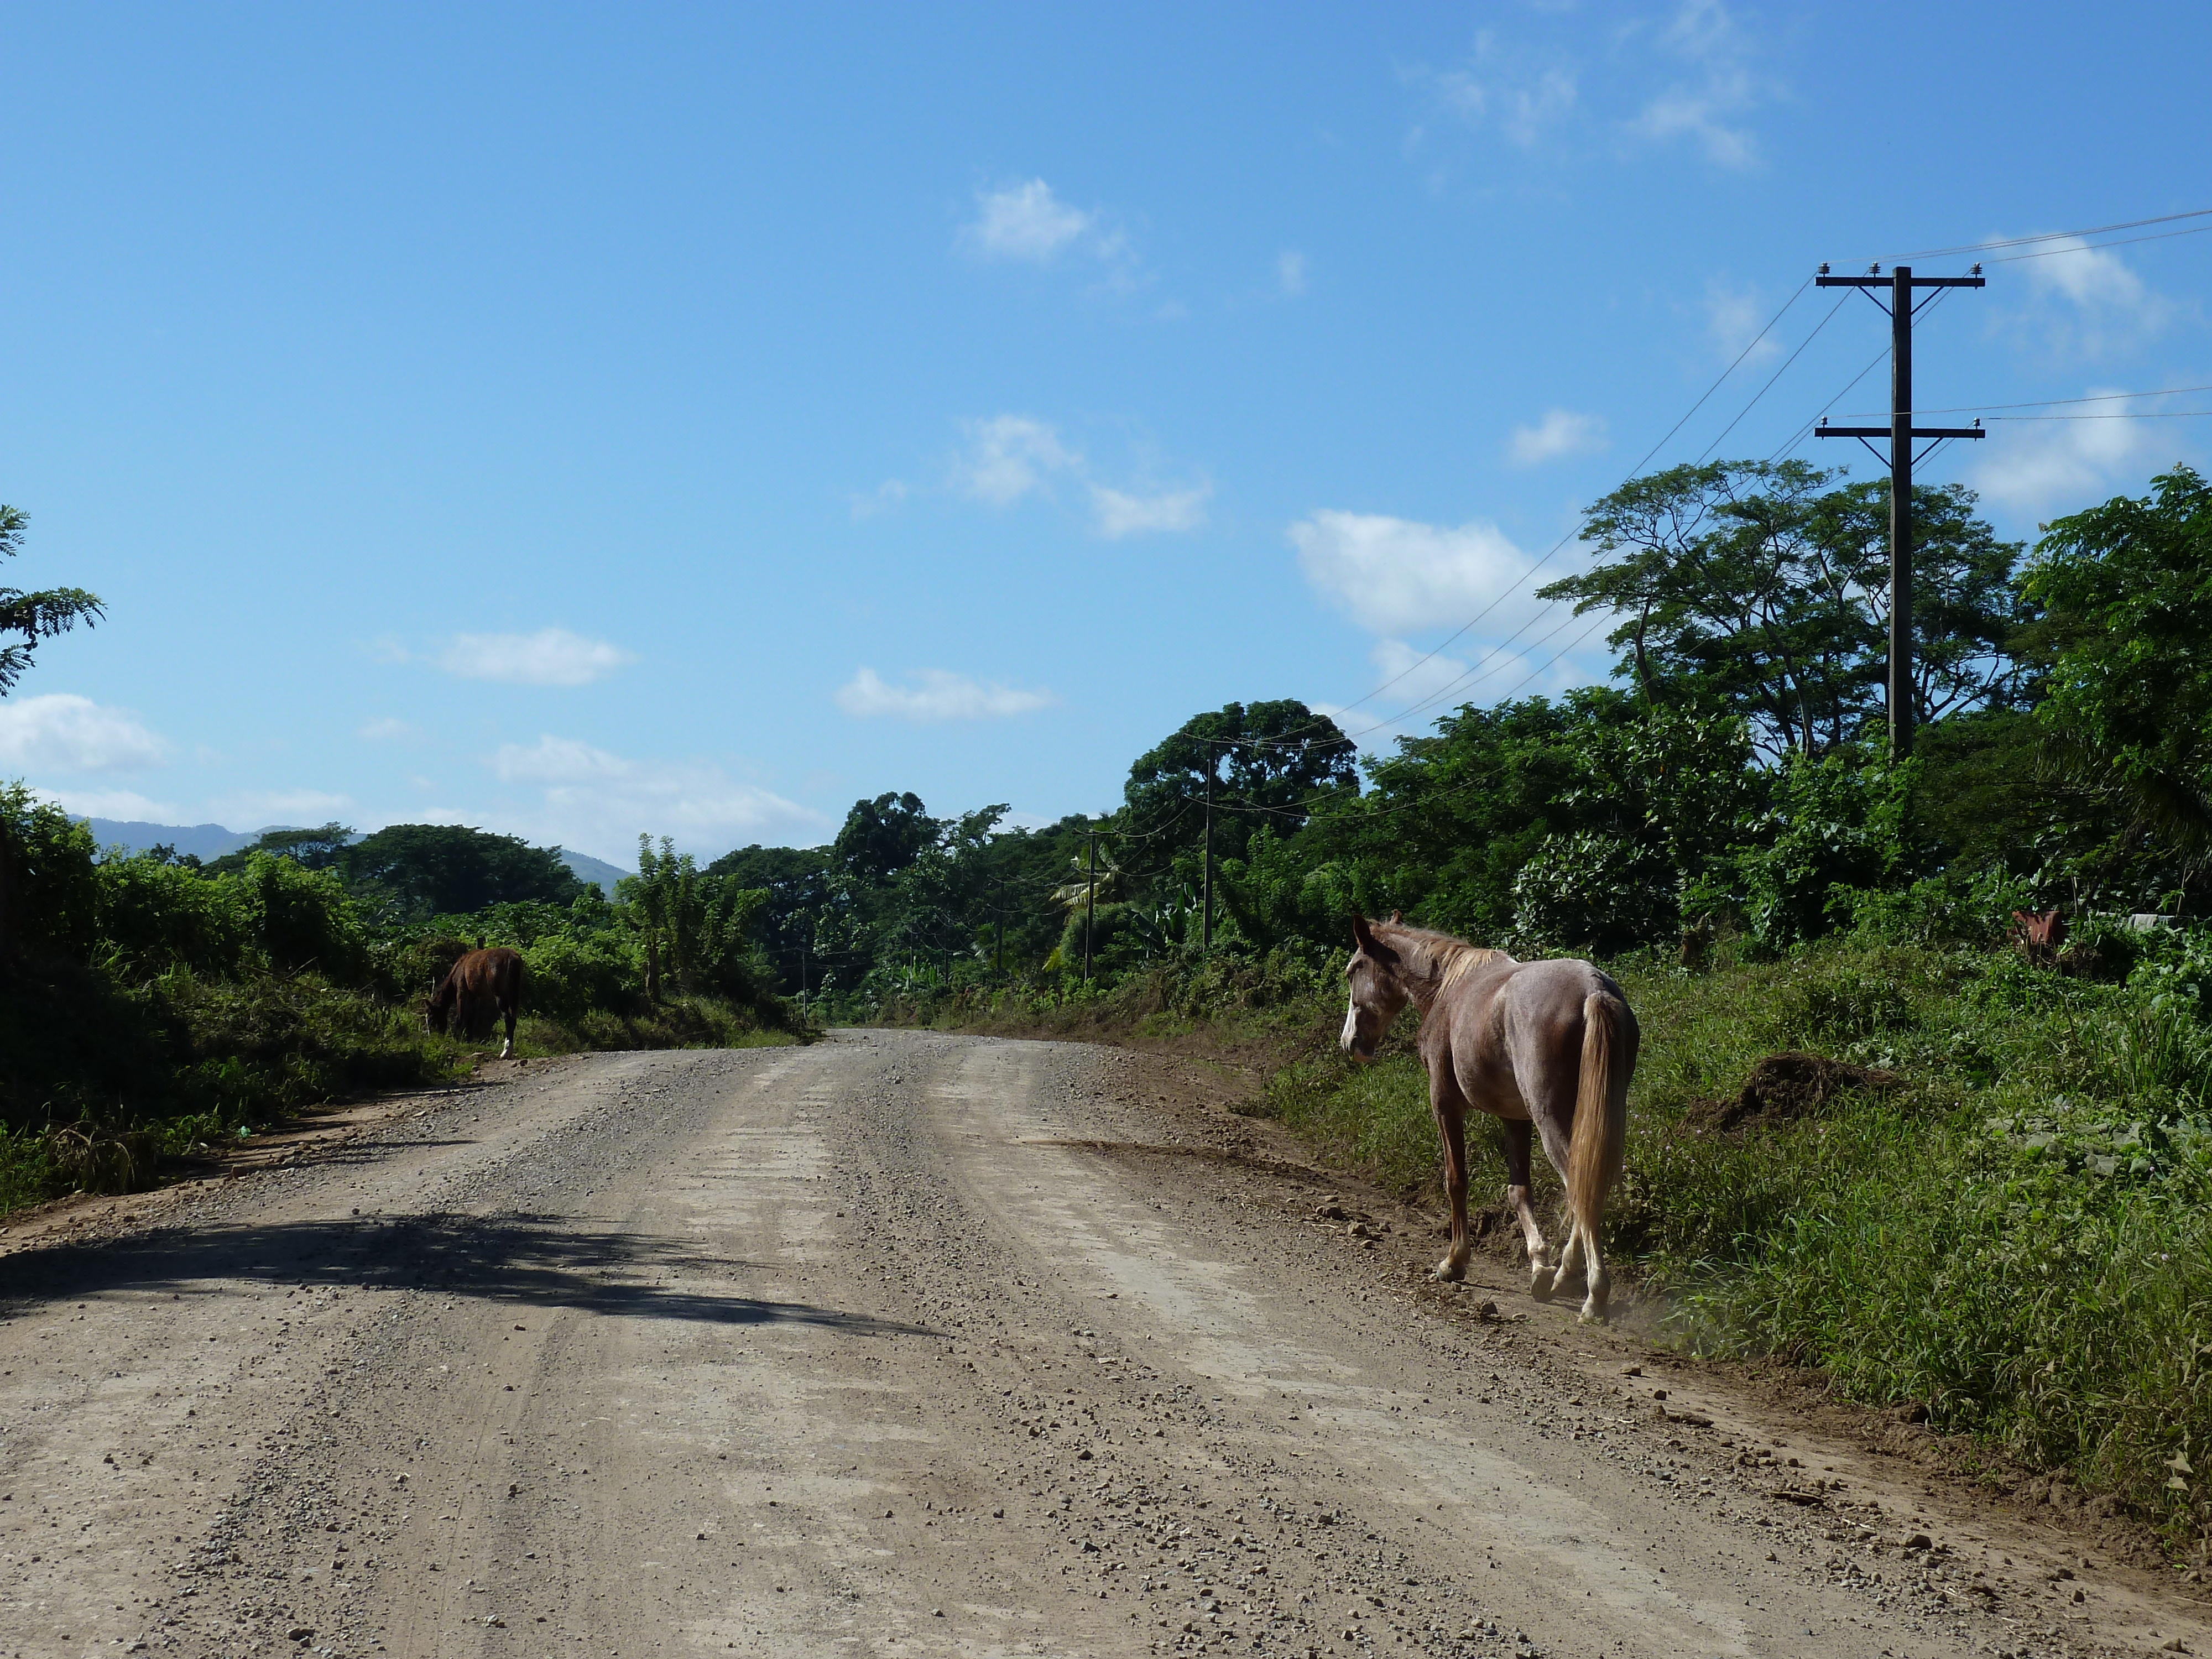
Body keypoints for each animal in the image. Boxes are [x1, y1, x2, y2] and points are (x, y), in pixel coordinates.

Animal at [427, 947, 526, 1066]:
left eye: (431, 1018)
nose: (432, 1036)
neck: (460, 966)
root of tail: (511, 957)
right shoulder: (474, 997)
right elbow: (472, 1018)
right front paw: (469, 1039)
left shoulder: (462, 993)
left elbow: (461, 1017)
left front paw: (456, 1038)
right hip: (514, 996)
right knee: (513, 1020)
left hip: (500, 996)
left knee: (508, 1019)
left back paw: (505, 1052)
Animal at [1336, 925, 1637, 1327]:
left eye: (1353, 971)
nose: (1350, 1043)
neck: (1448, 988)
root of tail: (1594, 989)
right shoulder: (1516, 1119)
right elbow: (1519, 1191)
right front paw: (1539, 1266)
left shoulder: (1445, 1106)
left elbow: (1456, 1181)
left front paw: (1455, 1262)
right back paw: (1564, 1278)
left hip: (1553, 1122)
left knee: (1581, 1190)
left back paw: (1593, 1295)